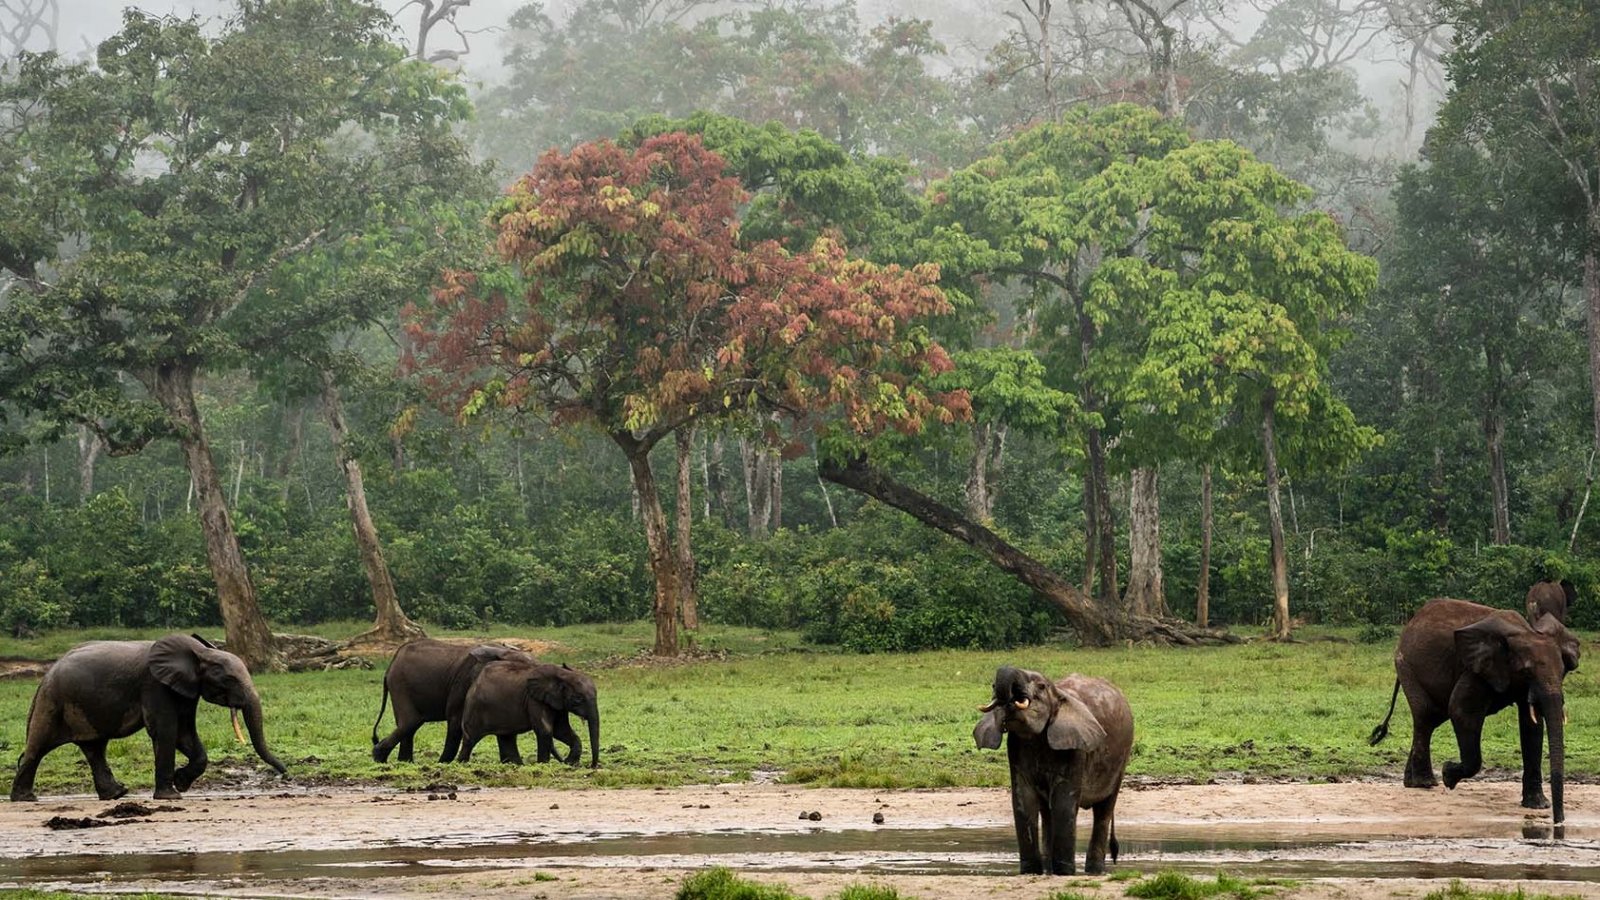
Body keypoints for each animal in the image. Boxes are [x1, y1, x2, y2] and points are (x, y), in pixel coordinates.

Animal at [8, 630, 288, 797]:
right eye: (229, 679)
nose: (285, 773)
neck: (200, 652)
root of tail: (46, 674)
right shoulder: (153, 684)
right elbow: (166, 730)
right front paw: (172, 796)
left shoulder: (184, 689)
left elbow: (184, 734)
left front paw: (181, 783)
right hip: (53, 701)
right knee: (38, 747)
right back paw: (25, 799)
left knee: (94, 749)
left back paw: (117, 794)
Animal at [368, 634, 544, 759]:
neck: (501, 651)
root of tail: (391, 664)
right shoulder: (464, 682)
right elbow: (455, 721)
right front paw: (443, 764)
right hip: (400, 684)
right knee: (410, 722)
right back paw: (380, 757)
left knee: (410, 725)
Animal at [460, 656, 601, 768]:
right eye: (578, 699)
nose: (592, 766)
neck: (562, 674)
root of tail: (475, 681)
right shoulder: (534, 700)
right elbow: (546, 730)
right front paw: (544, 765)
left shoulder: (557, 702)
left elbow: (561, 730)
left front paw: (570, 763)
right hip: (475, 707)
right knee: (470, 738)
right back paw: (462, 763)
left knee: (507, 737)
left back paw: (516, 765)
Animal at [966, 662, 1132, 871]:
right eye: (992, 687)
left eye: (1041, 686)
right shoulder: (1017, 747)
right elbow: (1024, 801)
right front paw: (1030, 871)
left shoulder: (1074, 748)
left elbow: (1063, 802)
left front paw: (1064, 872)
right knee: (1047, 813)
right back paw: (1048, 868)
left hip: (1122, 758)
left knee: (1103, 810)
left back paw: (1094, 870)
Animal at [1369, 595, 1580, 819]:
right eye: (1525, 671)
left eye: (1563, 671)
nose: (1558, 822)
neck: (1526, 633)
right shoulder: (1476, 669)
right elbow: (1461, 711)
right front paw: (1448, 774)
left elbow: (1532, 727)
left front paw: (1537, 805)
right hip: (1406, 665)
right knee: (1425, 717)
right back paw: (1424, 783)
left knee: (1432, 719)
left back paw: (1416, 782)